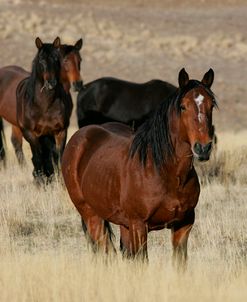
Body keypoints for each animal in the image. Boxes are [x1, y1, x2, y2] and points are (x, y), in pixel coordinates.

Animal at [0, 37, 83, 168]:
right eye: (65, 60)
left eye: (79, 60)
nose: (78, 84)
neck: (44, 105)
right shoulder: (32, 134)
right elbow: (39, 157)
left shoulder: (59, 131)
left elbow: (57, 156)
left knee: (16, 142)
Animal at [62, 68, 218, 266]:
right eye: (183, 106)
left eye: (211, 105)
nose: (202, 148)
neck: (164, 171)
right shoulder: (139, 225)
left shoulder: (183, 225)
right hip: (92, 215)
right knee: (105, 252)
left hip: (123, 224)